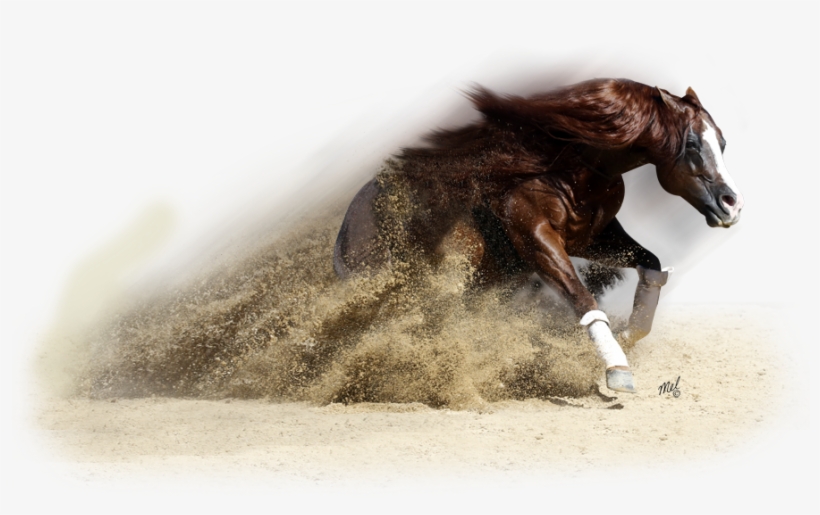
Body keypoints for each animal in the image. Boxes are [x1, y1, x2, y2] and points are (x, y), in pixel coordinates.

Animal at [333, 78, 744, 393]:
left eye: (722, 143)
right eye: (692, 144)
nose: (732, 204)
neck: (569, 169)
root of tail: (346, 228)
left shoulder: (592, 238)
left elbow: (651, 266)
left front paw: (628, 335)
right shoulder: (536, 237)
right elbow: (582, 299)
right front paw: (617, 369)